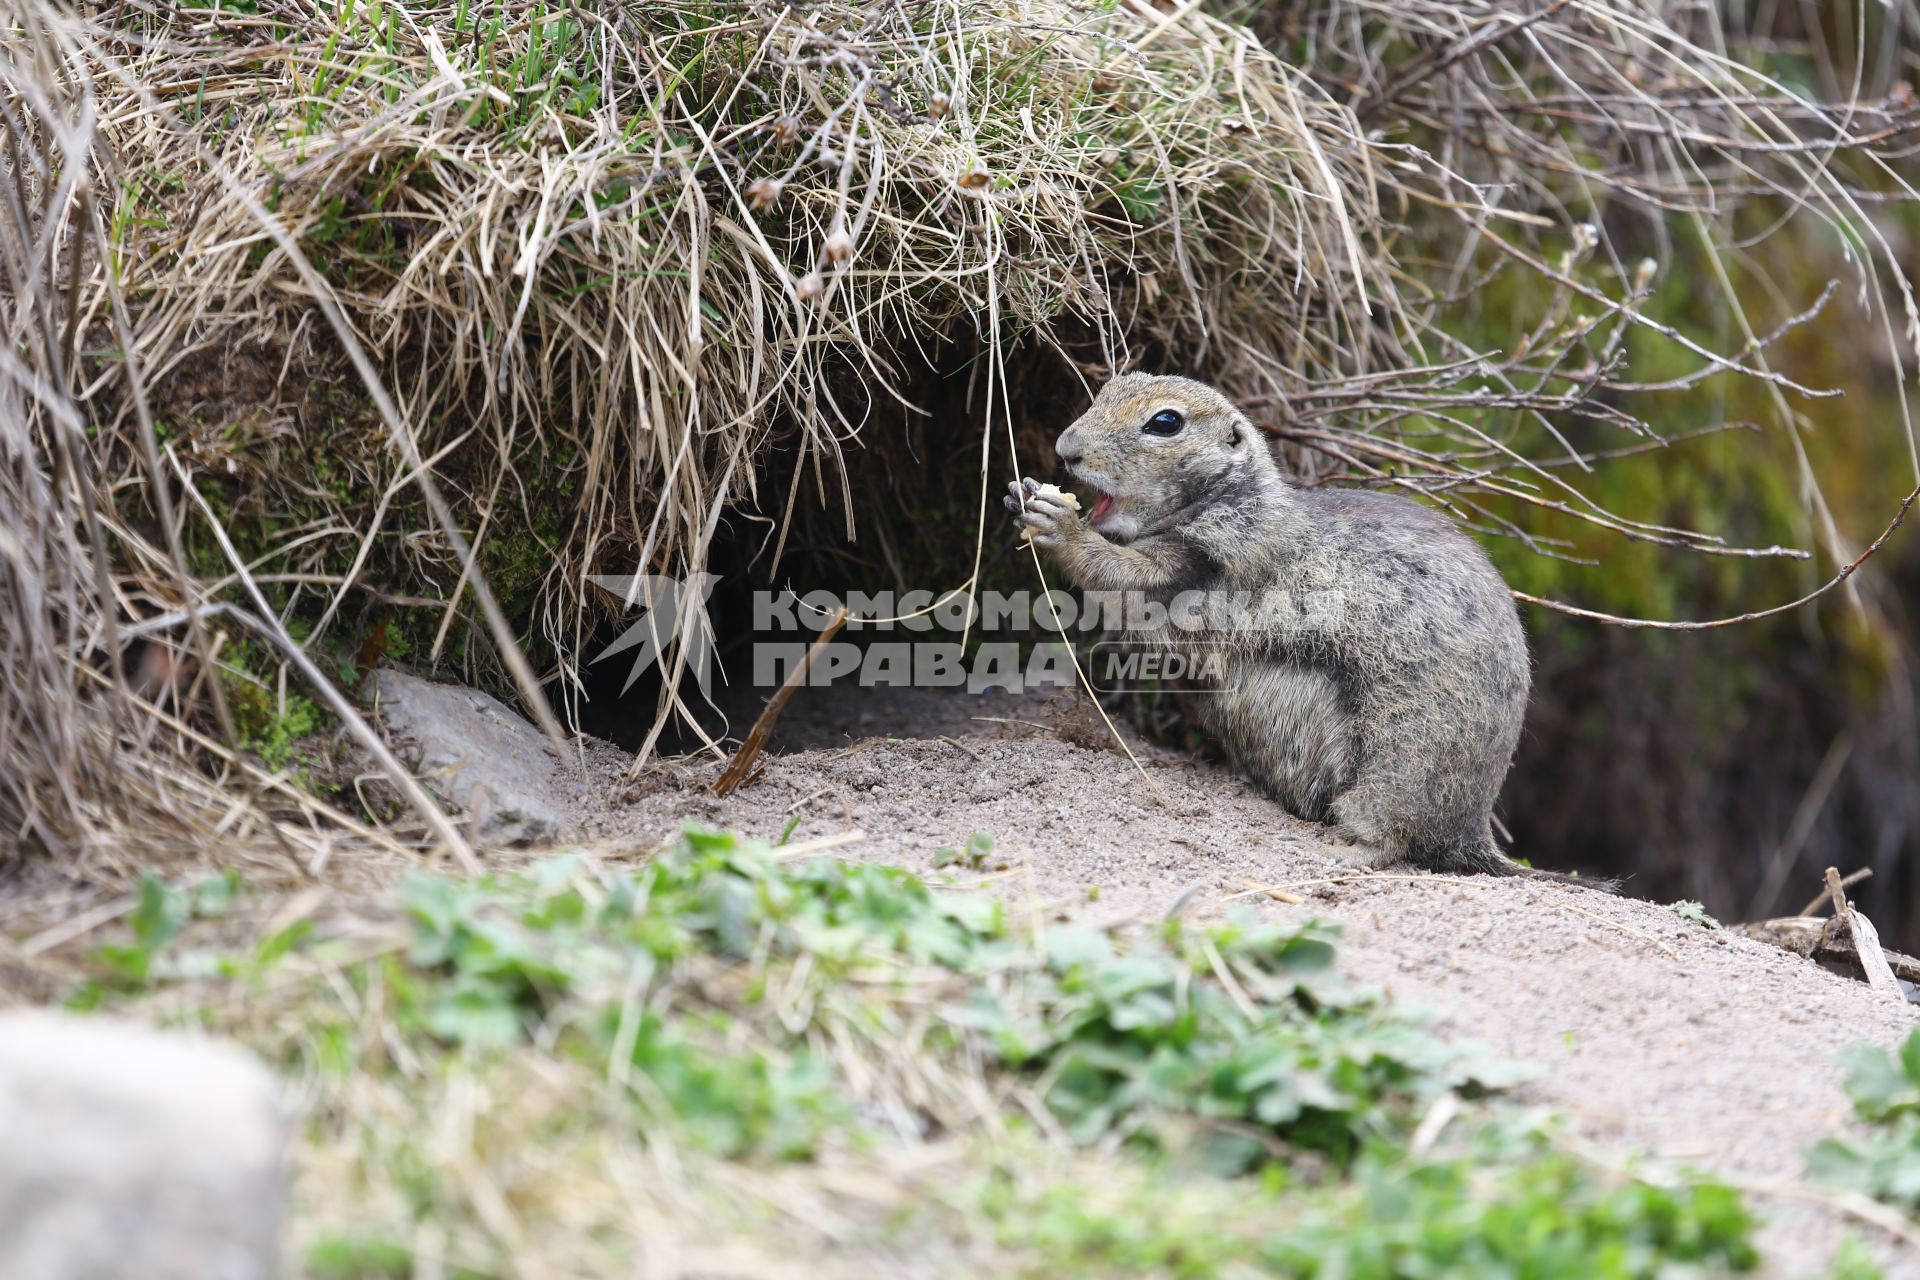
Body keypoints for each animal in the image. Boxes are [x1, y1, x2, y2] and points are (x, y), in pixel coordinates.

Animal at [1013, 370, 1582, 882]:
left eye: (1166, 421)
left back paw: (1334, 851)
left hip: (1396, 766)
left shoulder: (1202, 569)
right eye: (1109, 387)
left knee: (1393, 842)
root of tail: (1470, 830)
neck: (1232, 500)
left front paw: (1059, 524)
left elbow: (1120, 575)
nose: (1066, 449)